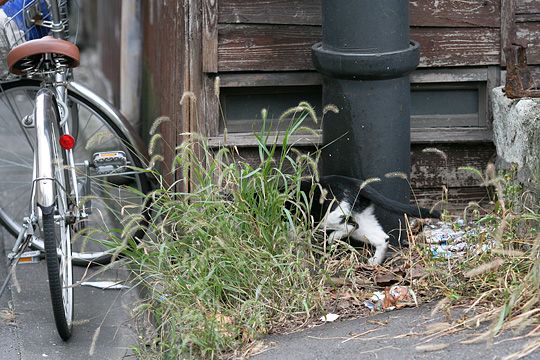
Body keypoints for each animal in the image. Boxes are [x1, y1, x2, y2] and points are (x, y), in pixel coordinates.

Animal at [298, 175, 440, 264]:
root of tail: (357, 184)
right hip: (362, 218)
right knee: (382, 238)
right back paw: (374, 262)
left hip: (328, 217)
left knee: (351, 225)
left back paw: (332, 239)